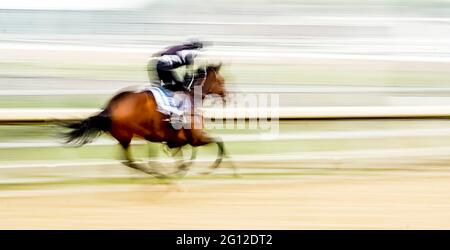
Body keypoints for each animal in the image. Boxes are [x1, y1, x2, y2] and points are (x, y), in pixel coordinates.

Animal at [62, 64, 229, 178]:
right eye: (221, 80)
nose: (226, 95)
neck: (191, 95)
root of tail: (108, 109)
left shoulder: (177, 140)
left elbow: (184, 154)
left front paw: (181, 169)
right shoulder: (194, 138)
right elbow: (218, 141)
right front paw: (213, 168)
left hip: (130, 136)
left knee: (129, 160)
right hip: (127, 135)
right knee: (130, 161)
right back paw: (158, 174)